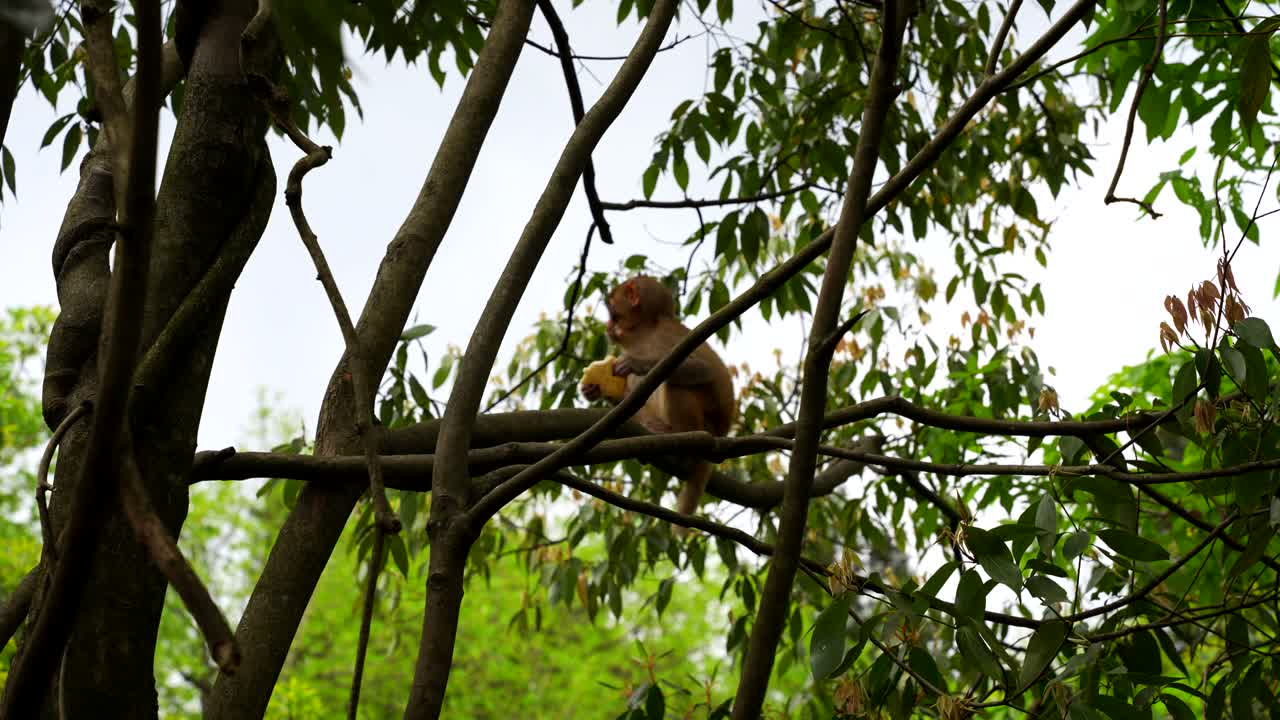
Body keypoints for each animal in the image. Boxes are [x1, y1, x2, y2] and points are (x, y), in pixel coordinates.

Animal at [580, 275, 736, 517]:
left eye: (612, 311)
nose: (607, 326)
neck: (643, 335)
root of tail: (721, 432)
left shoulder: (666, 336)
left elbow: (704, 369)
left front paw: (638, 364)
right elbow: (628, 398)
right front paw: (594, 390)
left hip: (708, 421)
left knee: (676, 385)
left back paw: (683, 444)